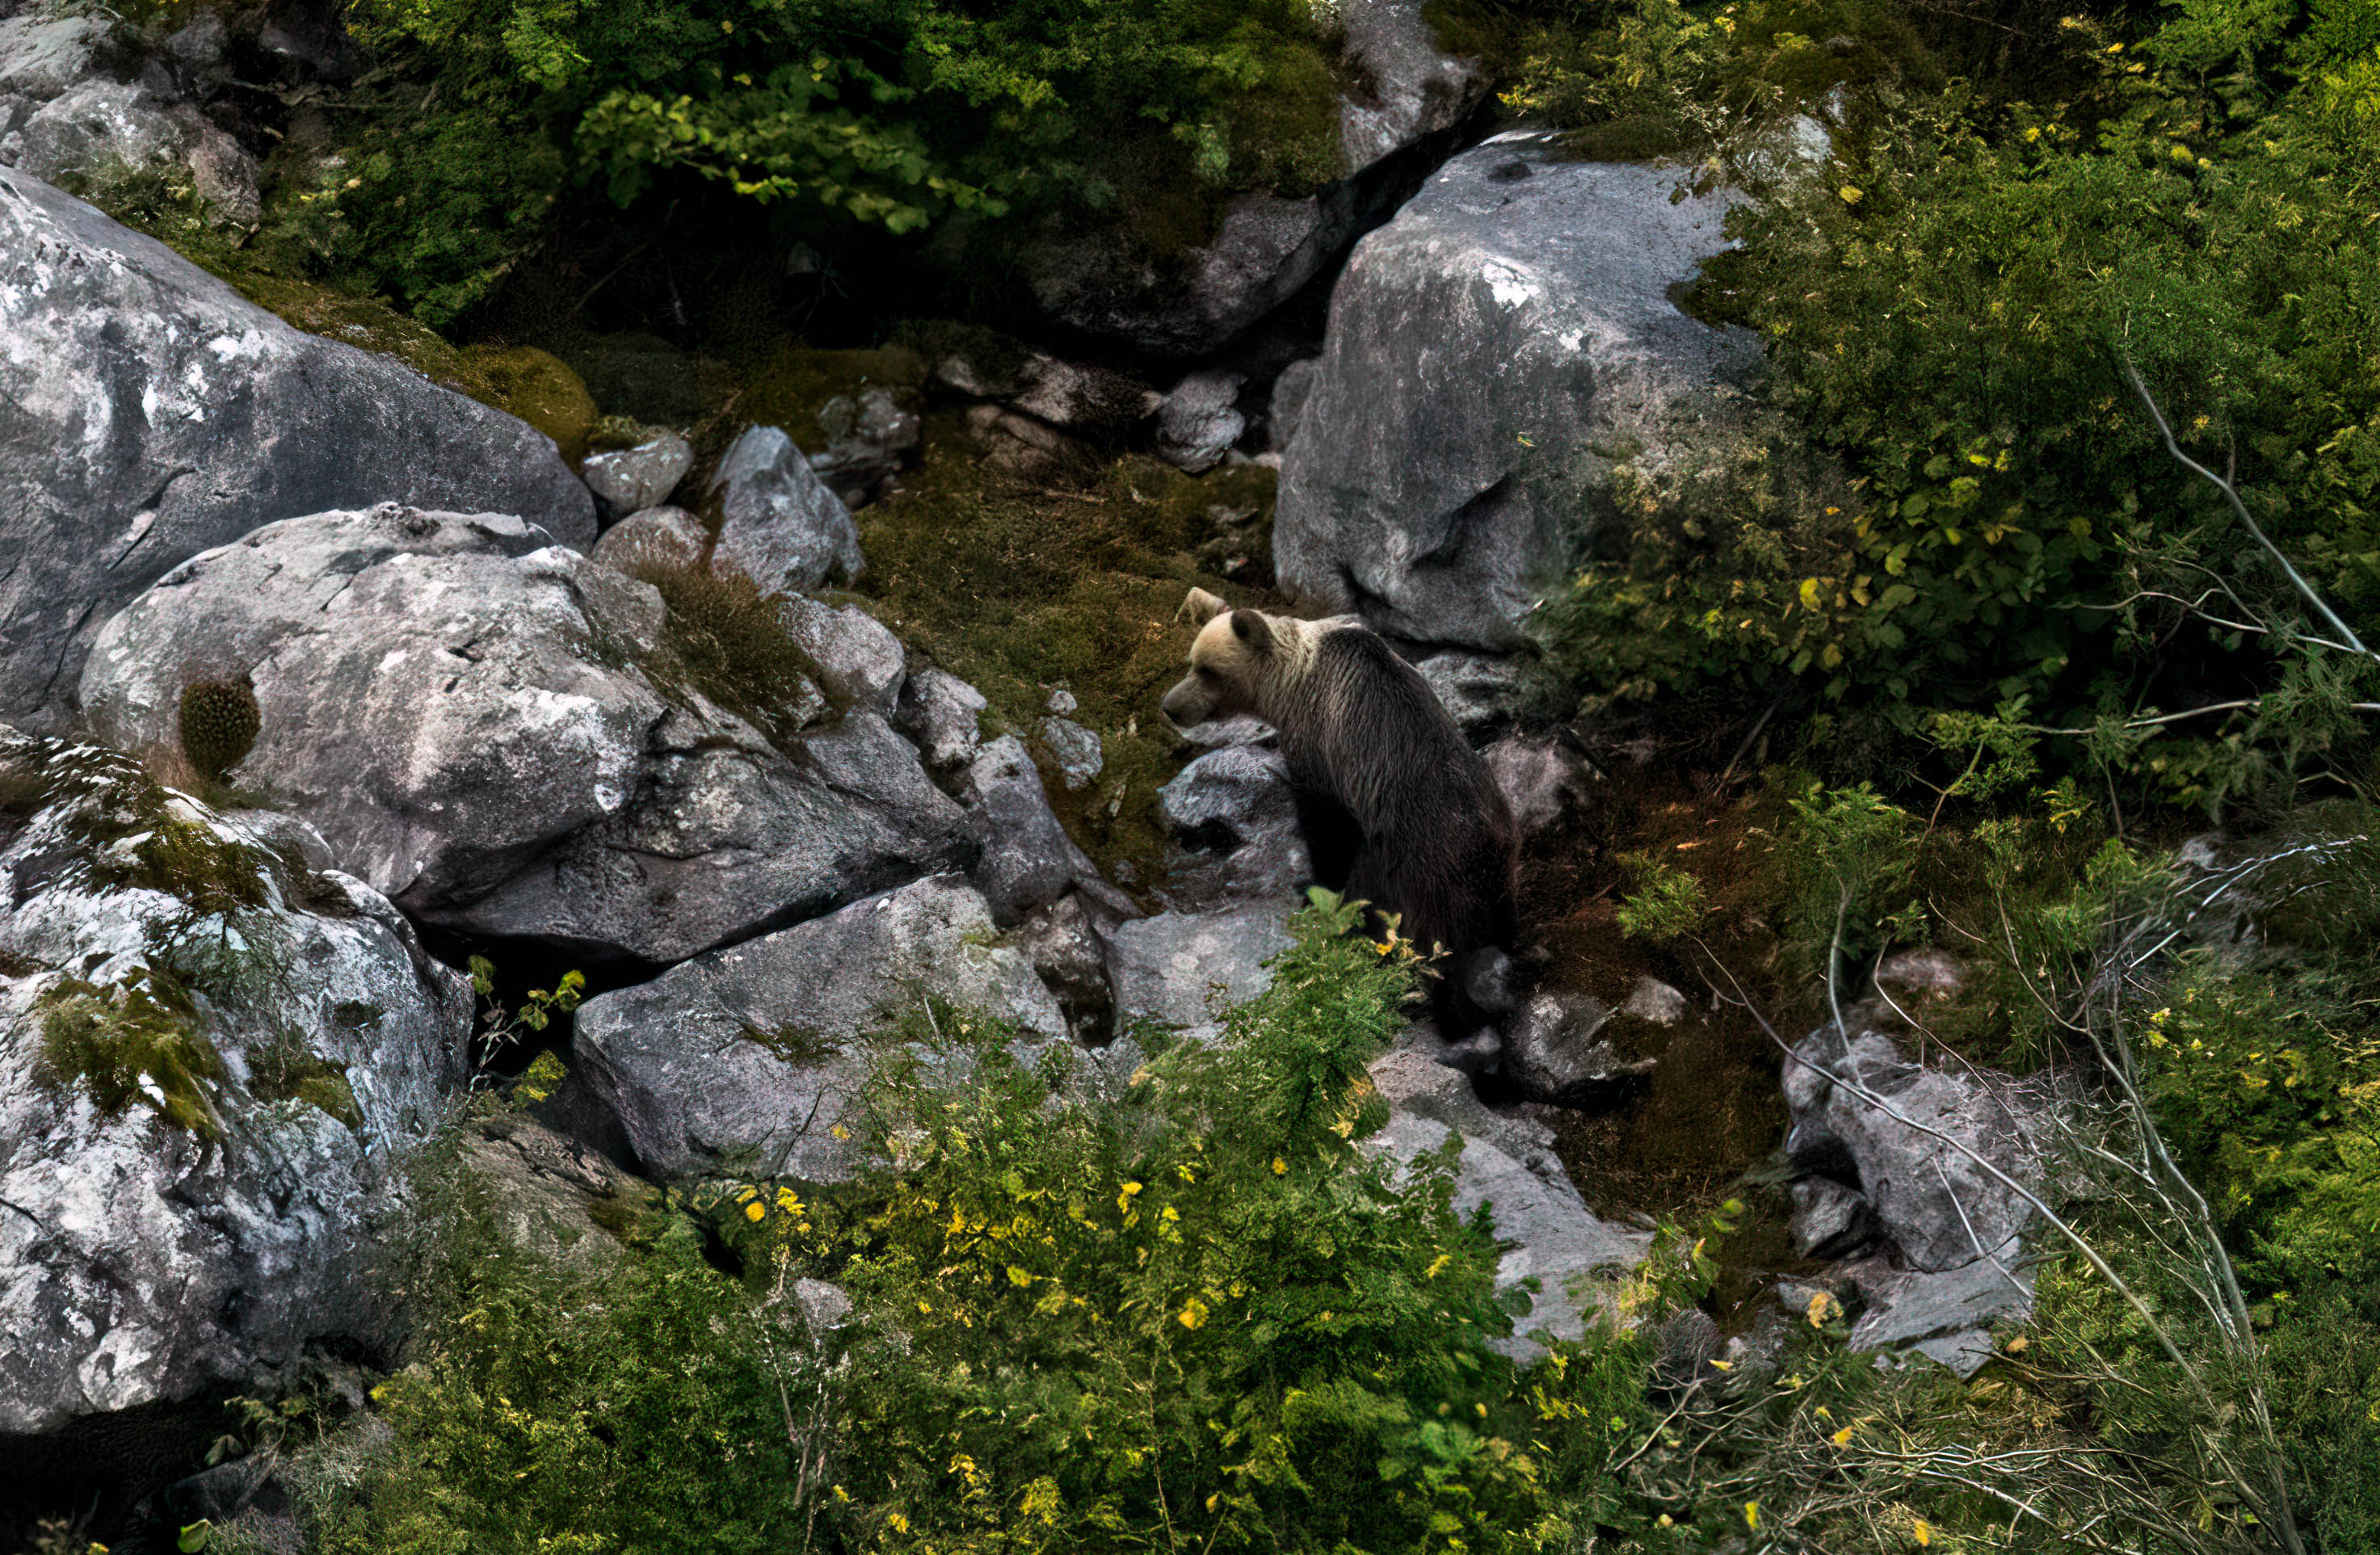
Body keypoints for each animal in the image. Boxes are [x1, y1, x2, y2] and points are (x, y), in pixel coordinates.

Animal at [1156, 586, 1523, 1028]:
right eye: (1192, 662)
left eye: (1208, 670)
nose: (1170, 705)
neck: (1290, 686)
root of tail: (1480, 849)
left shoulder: (1323, 747)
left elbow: (1325, 827)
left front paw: (1312, 893)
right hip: (1500, 857)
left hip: (1420, 865)